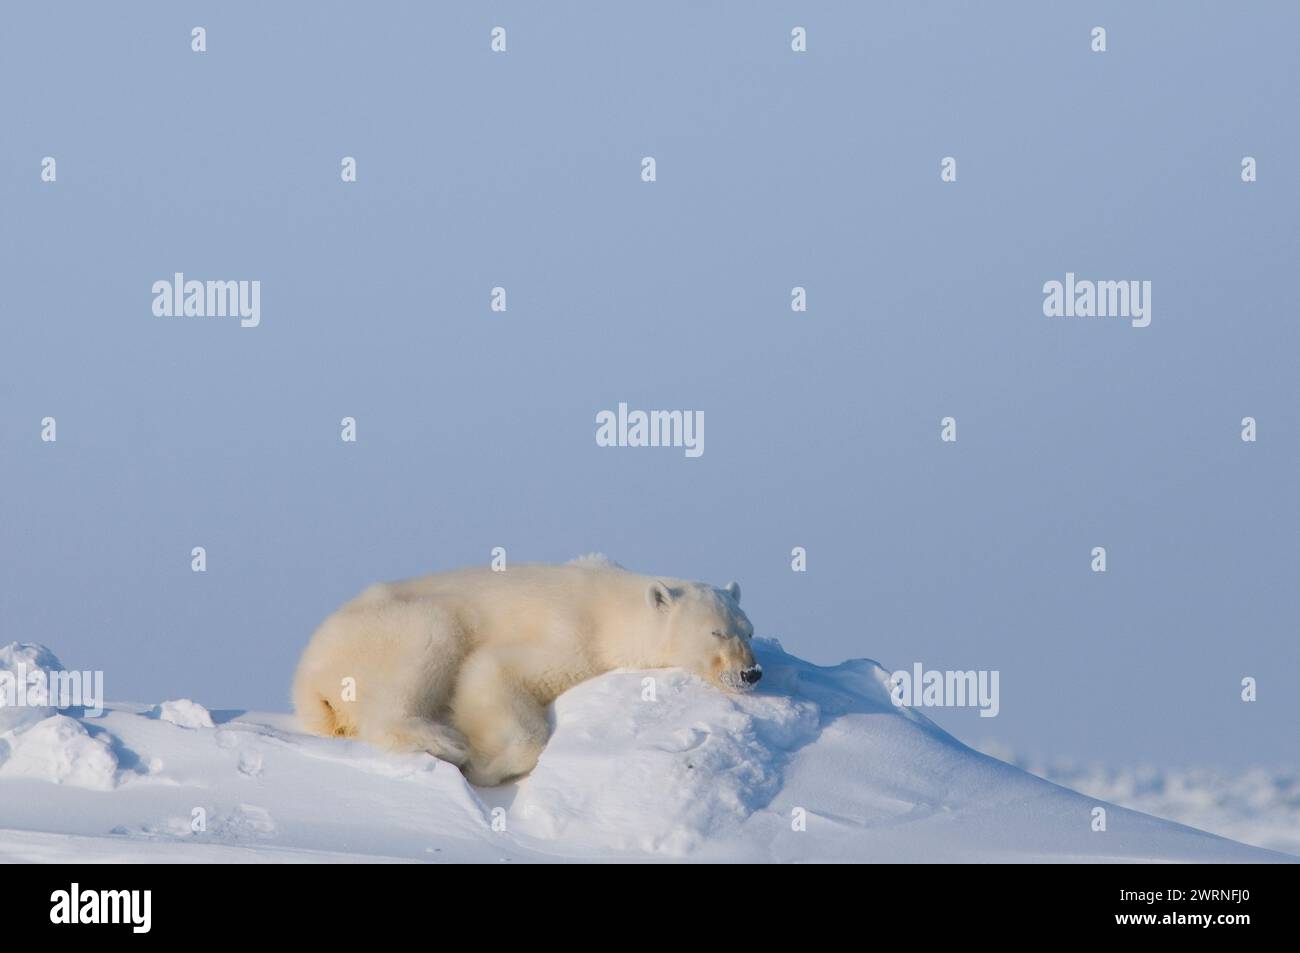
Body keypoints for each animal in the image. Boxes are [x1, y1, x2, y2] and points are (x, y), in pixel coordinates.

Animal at [292, 553, 759, 785]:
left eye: (749, 630)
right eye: (716, 632)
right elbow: (491, 670)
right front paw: (483, 764)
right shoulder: (574, 635)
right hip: (380, 631)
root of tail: (306, 679)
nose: (750, 674)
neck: (614, 609)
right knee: (429, 638)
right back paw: (442, 740)